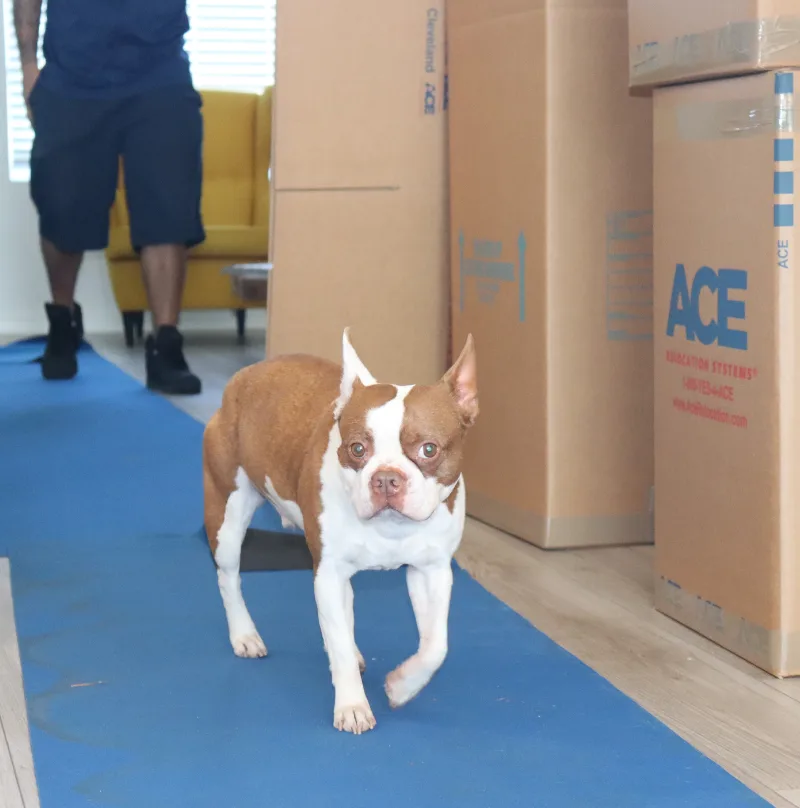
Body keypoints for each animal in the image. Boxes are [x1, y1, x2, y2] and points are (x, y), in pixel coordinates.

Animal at [203, 326, 478, 732]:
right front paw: (352, 706)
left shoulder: (432, 571)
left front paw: (401, 686)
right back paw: (244, 634)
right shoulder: (329, 573)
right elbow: (342, 648)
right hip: (227, 511)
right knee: (229, 577)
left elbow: (435, 646)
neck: (390, 529)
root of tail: (246, 373)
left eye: (429, 449)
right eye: (357, 449)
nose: (386, 479)